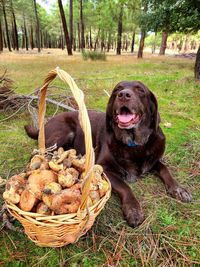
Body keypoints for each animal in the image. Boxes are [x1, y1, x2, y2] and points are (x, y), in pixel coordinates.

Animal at [25, 80, 192, 227]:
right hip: (63, 135)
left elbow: (165, 169)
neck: (133, 144)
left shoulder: (153, 161)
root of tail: (43, 126)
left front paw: (179, 189)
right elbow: (125, 187)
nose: (123, 95)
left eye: (140, 90)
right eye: (118, 89)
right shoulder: (104, 168)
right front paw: (133, 209)